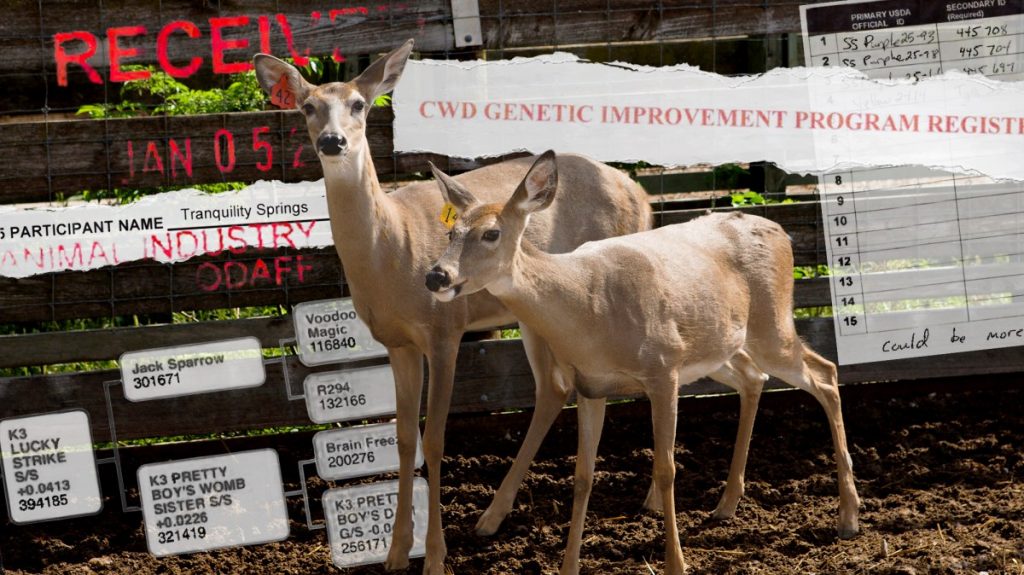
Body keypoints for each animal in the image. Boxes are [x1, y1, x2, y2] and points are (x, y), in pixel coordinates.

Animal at [253, 42, 653, 573]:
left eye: (359, 103)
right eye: (307, 107)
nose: (333, 142)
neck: (391, 250)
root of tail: (643, 195)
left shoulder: (445, 330)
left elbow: (436, 439)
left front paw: (435, 557)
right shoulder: (397, 342)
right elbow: (404, 438)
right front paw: (396, 553)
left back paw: (652, 500)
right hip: (537, 313)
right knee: (552, 387)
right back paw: (491, 518)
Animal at [425, 151, 861, 574]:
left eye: (491, 233)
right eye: (450, 232)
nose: (435, 276)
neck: (587, 308)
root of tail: (779, 231)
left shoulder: (662, 369)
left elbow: (666, 470)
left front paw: (675, 564)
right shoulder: (590, 385)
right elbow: (583, 477)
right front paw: (569, 566)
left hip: (770, 325)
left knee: (825, 373)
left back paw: (849, 517)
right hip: (717, 347)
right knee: (755, 377)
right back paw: (726, 505)